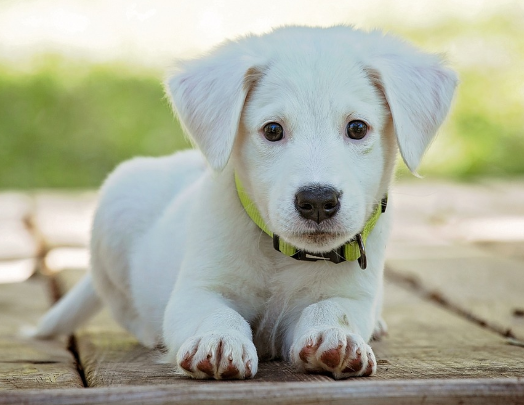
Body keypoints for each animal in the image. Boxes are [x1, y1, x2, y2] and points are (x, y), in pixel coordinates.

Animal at [33, 25, 458, 378]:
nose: (318, 201)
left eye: (357, 128)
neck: (282, 256)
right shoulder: (197, 290)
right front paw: (219, 340)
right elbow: (216, 313)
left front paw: (335, 337)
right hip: (115, 209)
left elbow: (332, 309)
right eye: (272, 130)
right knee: (126, 310)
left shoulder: (352, 295)